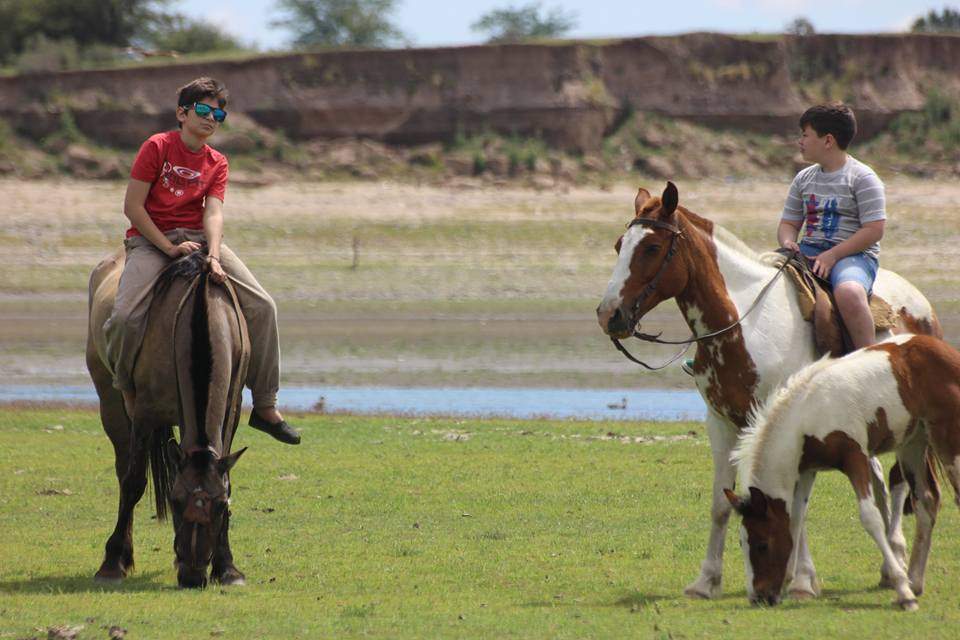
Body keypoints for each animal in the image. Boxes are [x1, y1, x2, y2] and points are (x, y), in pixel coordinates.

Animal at [86, 250, 249, 592]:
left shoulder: (232, 410)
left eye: (219, 506)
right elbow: (134, 482)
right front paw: (111, 564)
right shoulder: (145, 413)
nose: (193, 577)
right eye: (174, 501)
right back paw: (122, 555)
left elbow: (227, 479)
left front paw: (227, 568)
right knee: (123, 470)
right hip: (112, 402)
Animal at [596, 181, 940, 600]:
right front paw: (706, 581)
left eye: (651, 248)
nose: (608, 314)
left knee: (903, 484)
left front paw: (803, 581)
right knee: (882, 481)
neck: (746, 325)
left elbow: (798, 504)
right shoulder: (721, 424)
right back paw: (892, 568)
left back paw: (899, 563)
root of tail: (922, 306)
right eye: (619, 245)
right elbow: (721, 503)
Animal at [728, 336, 960, 608]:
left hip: (948, 441)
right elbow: (796, 519)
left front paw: (903, 591)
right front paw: (792, 583)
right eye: (741, 542)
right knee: (926, 502)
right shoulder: (807, 469)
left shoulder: (855, 457)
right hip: (912, 444)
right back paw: (915, 581)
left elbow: (870, 518)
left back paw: (910, 584)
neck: (808, 414)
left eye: (762, 545)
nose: (759, 597)